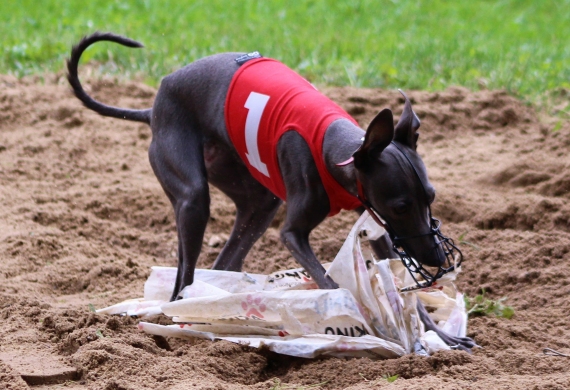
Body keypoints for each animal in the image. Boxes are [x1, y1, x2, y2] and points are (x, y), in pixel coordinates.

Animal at [67, 32, 474, 350]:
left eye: (431, 197)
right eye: (402, 205)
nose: (438, 258)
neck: (334, 146)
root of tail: (153, 108)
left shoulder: (376, 224)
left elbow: (406, 288)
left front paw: (438, 334)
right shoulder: (294, 233)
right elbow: (327, 279)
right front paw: (361, 319)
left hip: (258, 201)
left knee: (226, 262)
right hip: (193, 197)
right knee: (184, 273)